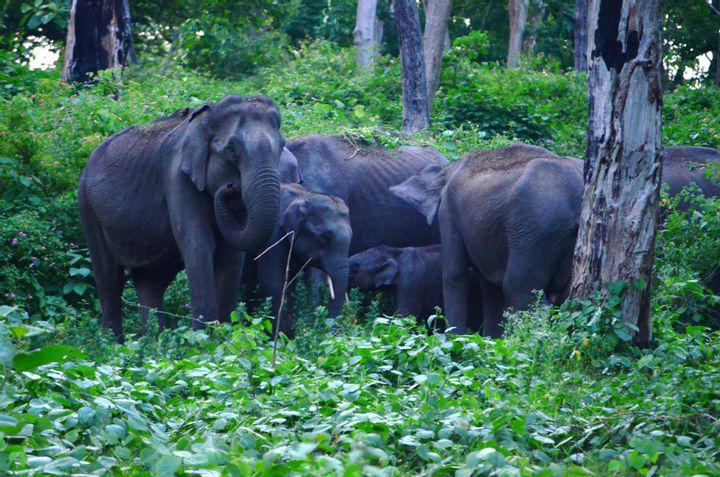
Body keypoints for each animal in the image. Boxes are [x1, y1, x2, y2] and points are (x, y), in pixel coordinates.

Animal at [77, 95, 284, 341]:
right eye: (232, 149)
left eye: (282, 147)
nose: (230, 188)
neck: (205, 121)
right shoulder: (176, 175)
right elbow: (197, 243)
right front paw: (204, 340)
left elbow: (232, 253)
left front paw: (224, 335)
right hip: (88, 208)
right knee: (109, 279)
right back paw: (112, 344)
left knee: (150, 281)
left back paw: (155, 342)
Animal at [243, 183, 352, 336]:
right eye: (325, 237)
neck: (303, 196)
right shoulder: (273, 237)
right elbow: (273, 283)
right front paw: (280, 336)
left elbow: (310, 284)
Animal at [391, 143, 584, 338]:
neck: (449, 167)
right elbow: (491, 286)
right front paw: (491, 339)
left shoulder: (448, 212)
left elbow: (454, 274)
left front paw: (456, 338)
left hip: (535, 230)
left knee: (518, 288)